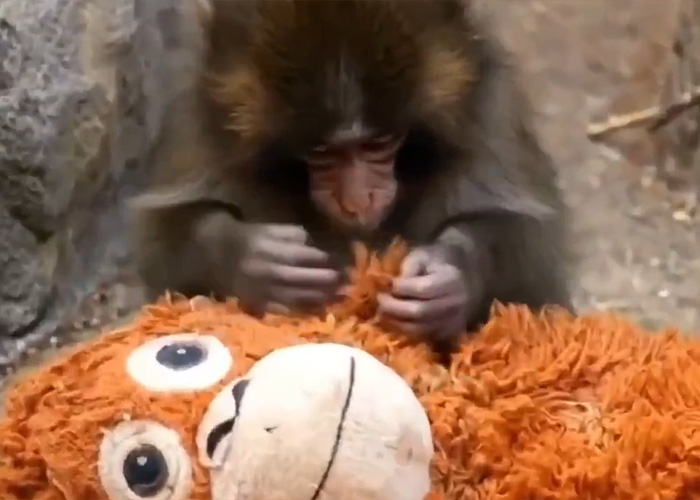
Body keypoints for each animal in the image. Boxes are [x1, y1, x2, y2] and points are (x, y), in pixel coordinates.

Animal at [129, 0, 574, 345]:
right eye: (321, 151)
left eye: (378, 143)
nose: (359, 201)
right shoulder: (197, 105)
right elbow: (161, 249)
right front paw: (254, 261)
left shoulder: (489, 106)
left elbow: (538, 266)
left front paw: (449, 276)